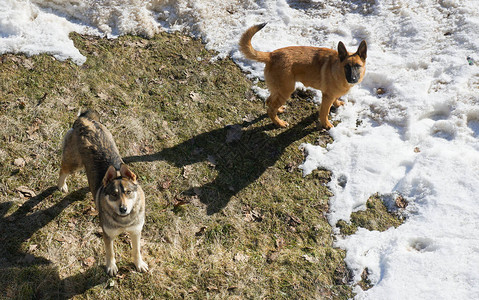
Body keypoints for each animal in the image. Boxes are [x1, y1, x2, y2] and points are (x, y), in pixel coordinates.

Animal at [240, 24, 368, 129]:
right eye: (346, 66)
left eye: (358, 66)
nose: (353, 79)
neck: (337, 68)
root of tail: (271, 55)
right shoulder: (327, 96)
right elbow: (324, 113)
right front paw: (326, 124)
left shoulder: (332, 94)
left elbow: (335, 99)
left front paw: (337, 104)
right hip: (286, 90)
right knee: (271, 108)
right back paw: (279, 123)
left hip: (278, 89)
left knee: (269, 102)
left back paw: (279, 110)